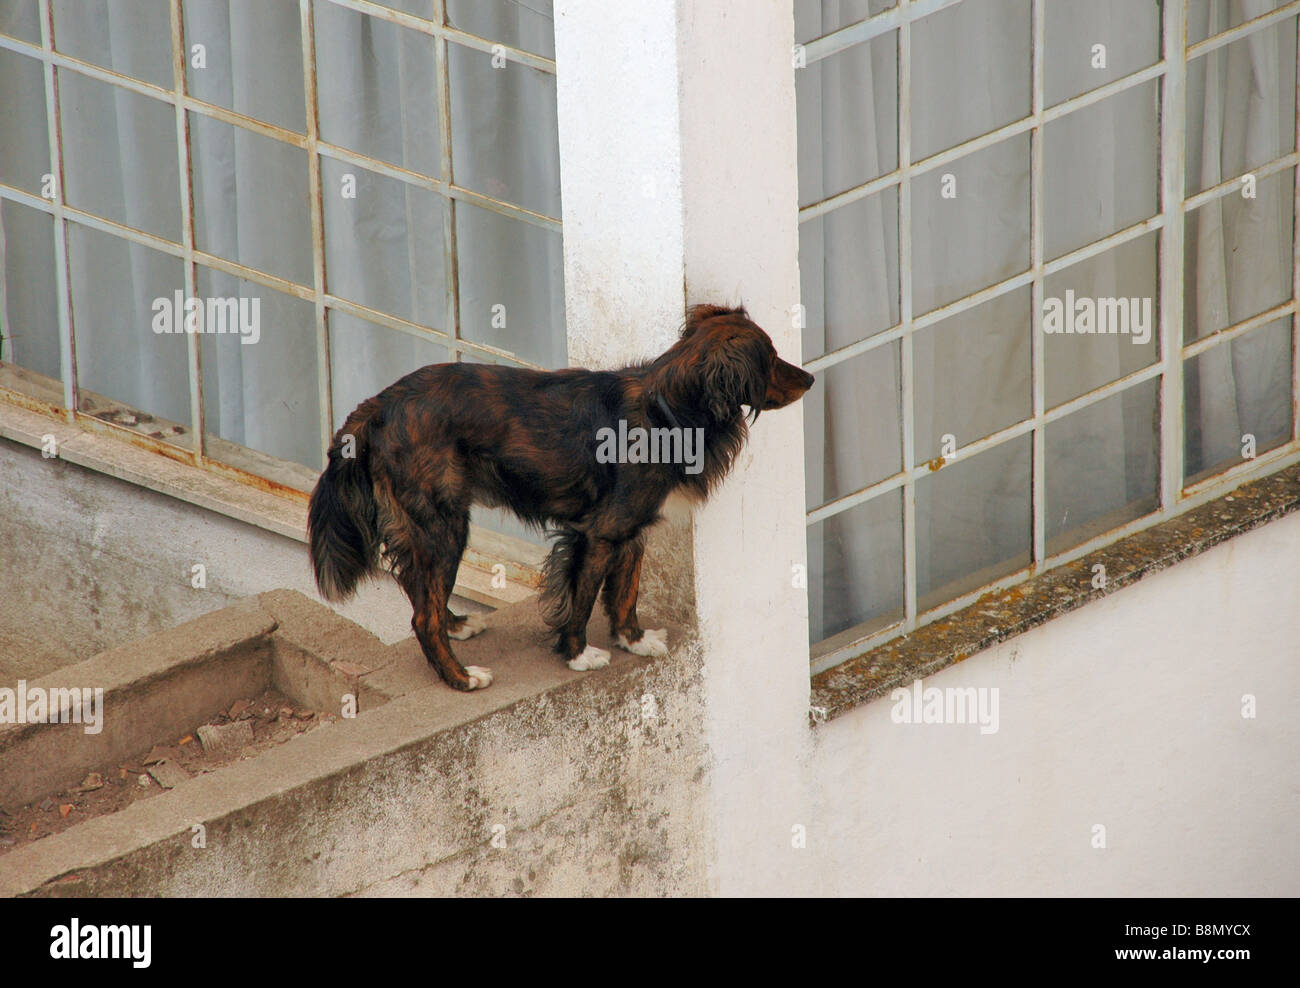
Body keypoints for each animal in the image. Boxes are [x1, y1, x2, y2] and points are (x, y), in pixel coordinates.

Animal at [305, 305, 811, 691]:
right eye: (770, 359)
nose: (808, 379)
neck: (669, 411)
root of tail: (378, 407)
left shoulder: (631, 532)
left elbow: (625, 592)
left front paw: (633, 640)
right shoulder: (600, 533)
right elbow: (583, 597)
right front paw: (578, 653)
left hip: (425, 524)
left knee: (417, 589)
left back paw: (458, 625)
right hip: (444, 523)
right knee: (421, 617)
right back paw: (462, 677)